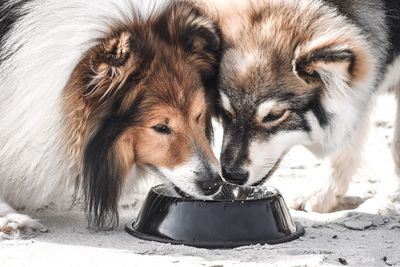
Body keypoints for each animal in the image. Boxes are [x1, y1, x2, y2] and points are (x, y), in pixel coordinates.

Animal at [209, 0, 400, 214]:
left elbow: (396, 149)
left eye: (275, 115)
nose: (232, 175)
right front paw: (323, 193)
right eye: (225, 110)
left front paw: (388, 201)